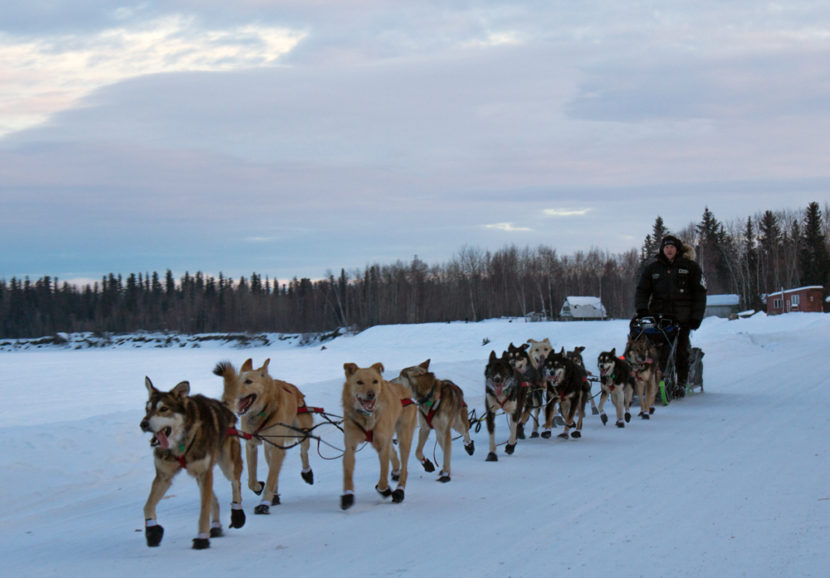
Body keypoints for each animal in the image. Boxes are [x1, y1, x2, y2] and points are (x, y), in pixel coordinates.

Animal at [138, 376, 244, 548]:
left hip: (228, 466)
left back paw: (237, 515)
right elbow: (147, 506)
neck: (180, 444)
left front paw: (202, 538)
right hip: (199, 476)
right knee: (214, 499)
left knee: (236, 484)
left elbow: (204, 510)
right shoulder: (164, 476)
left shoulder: (204, 472)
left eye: (164, 409)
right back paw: (215, 526)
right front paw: (152, 531)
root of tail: (223, 407)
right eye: (147, 409)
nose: (143, 424)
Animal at [214, 356, 316, 512]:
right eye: (236, 381)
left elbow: (271, 477)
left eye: (248, 381)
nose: (230, 393)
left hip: (302, 433)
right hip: (269, 449)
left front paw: (264, 502)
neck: (263, 412)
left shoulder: (278, 448)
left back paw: (307, 472)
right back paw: (275, 495)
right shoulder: (251, 445)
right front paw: (258, 487)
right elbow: (252, 479)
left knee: (303, 452)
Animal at [340, 362, 416, 506]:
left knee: (405, 467)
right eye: (359, 382)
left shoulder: (382, 446)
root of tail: (404, 389)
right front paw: (348, 495)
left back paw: (399, 490)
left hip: (404, 437)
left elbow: (383, 475)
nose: (371, 394)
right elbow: (347, 474)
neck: (367, 418)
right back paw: (396, 471)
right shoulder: (350, 446)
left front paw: (384, 490)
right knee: (394, 454)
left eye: (375, 381)